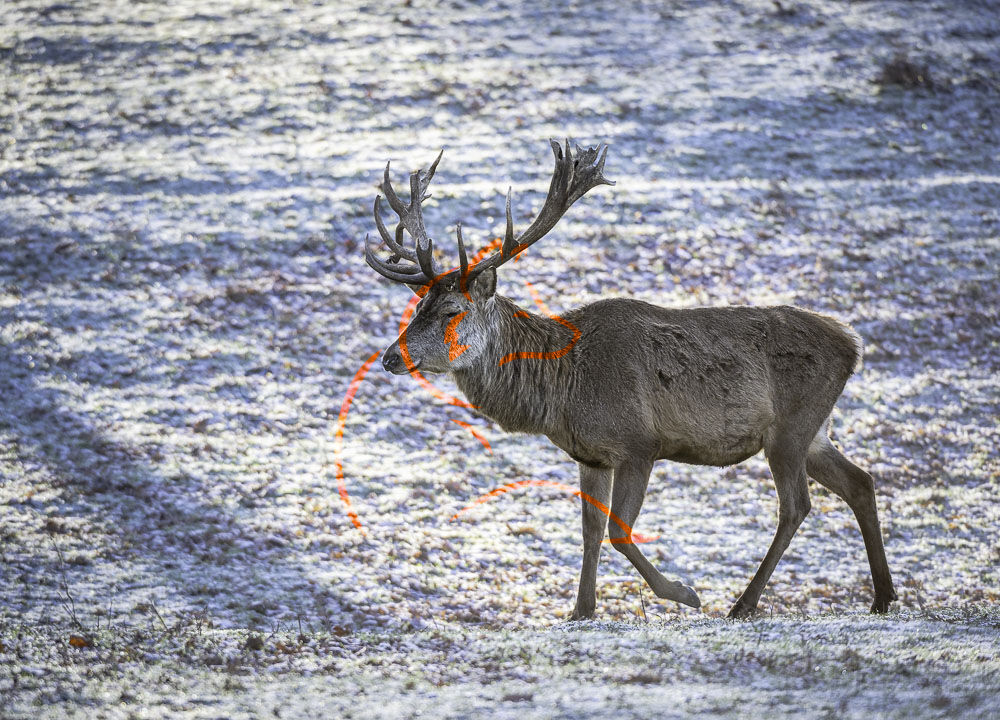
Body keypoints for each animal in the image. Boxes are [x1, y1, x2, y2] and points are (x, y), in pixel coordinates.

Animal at [364, 139, 897, 620]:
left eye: (451, 310)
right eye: (419, 304)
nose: (391, 357)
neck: (563, 388)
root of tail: (853, 344)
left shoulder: (639, 444)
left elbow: (619, 532)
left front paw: (684, 593)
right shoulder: (591, 455)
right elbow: (590, 532)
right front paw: (581, 611)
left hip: (789, 428)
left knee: (796, 505)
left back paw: (743, 604)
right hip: (815, 431)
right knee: (860, 483)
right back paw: (883, 596)